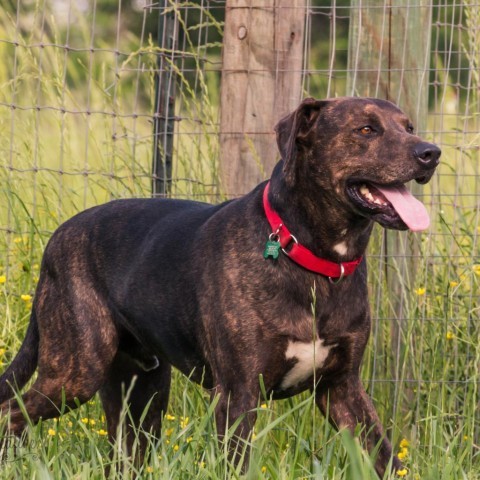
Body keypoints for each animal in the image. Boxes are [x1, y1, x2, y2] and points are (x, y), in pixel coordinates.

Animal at [0, 95, 440, 474]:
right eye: (366, 129)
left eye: (409, 127)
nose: (431, 152)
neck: (311, 259)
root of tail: (57, 237)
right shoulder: (237, 393)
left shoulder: (342, 388)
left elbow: (385, 457)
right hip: (76, 371)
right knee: (11, 413)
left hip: (141, 392)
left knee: (124, 454)